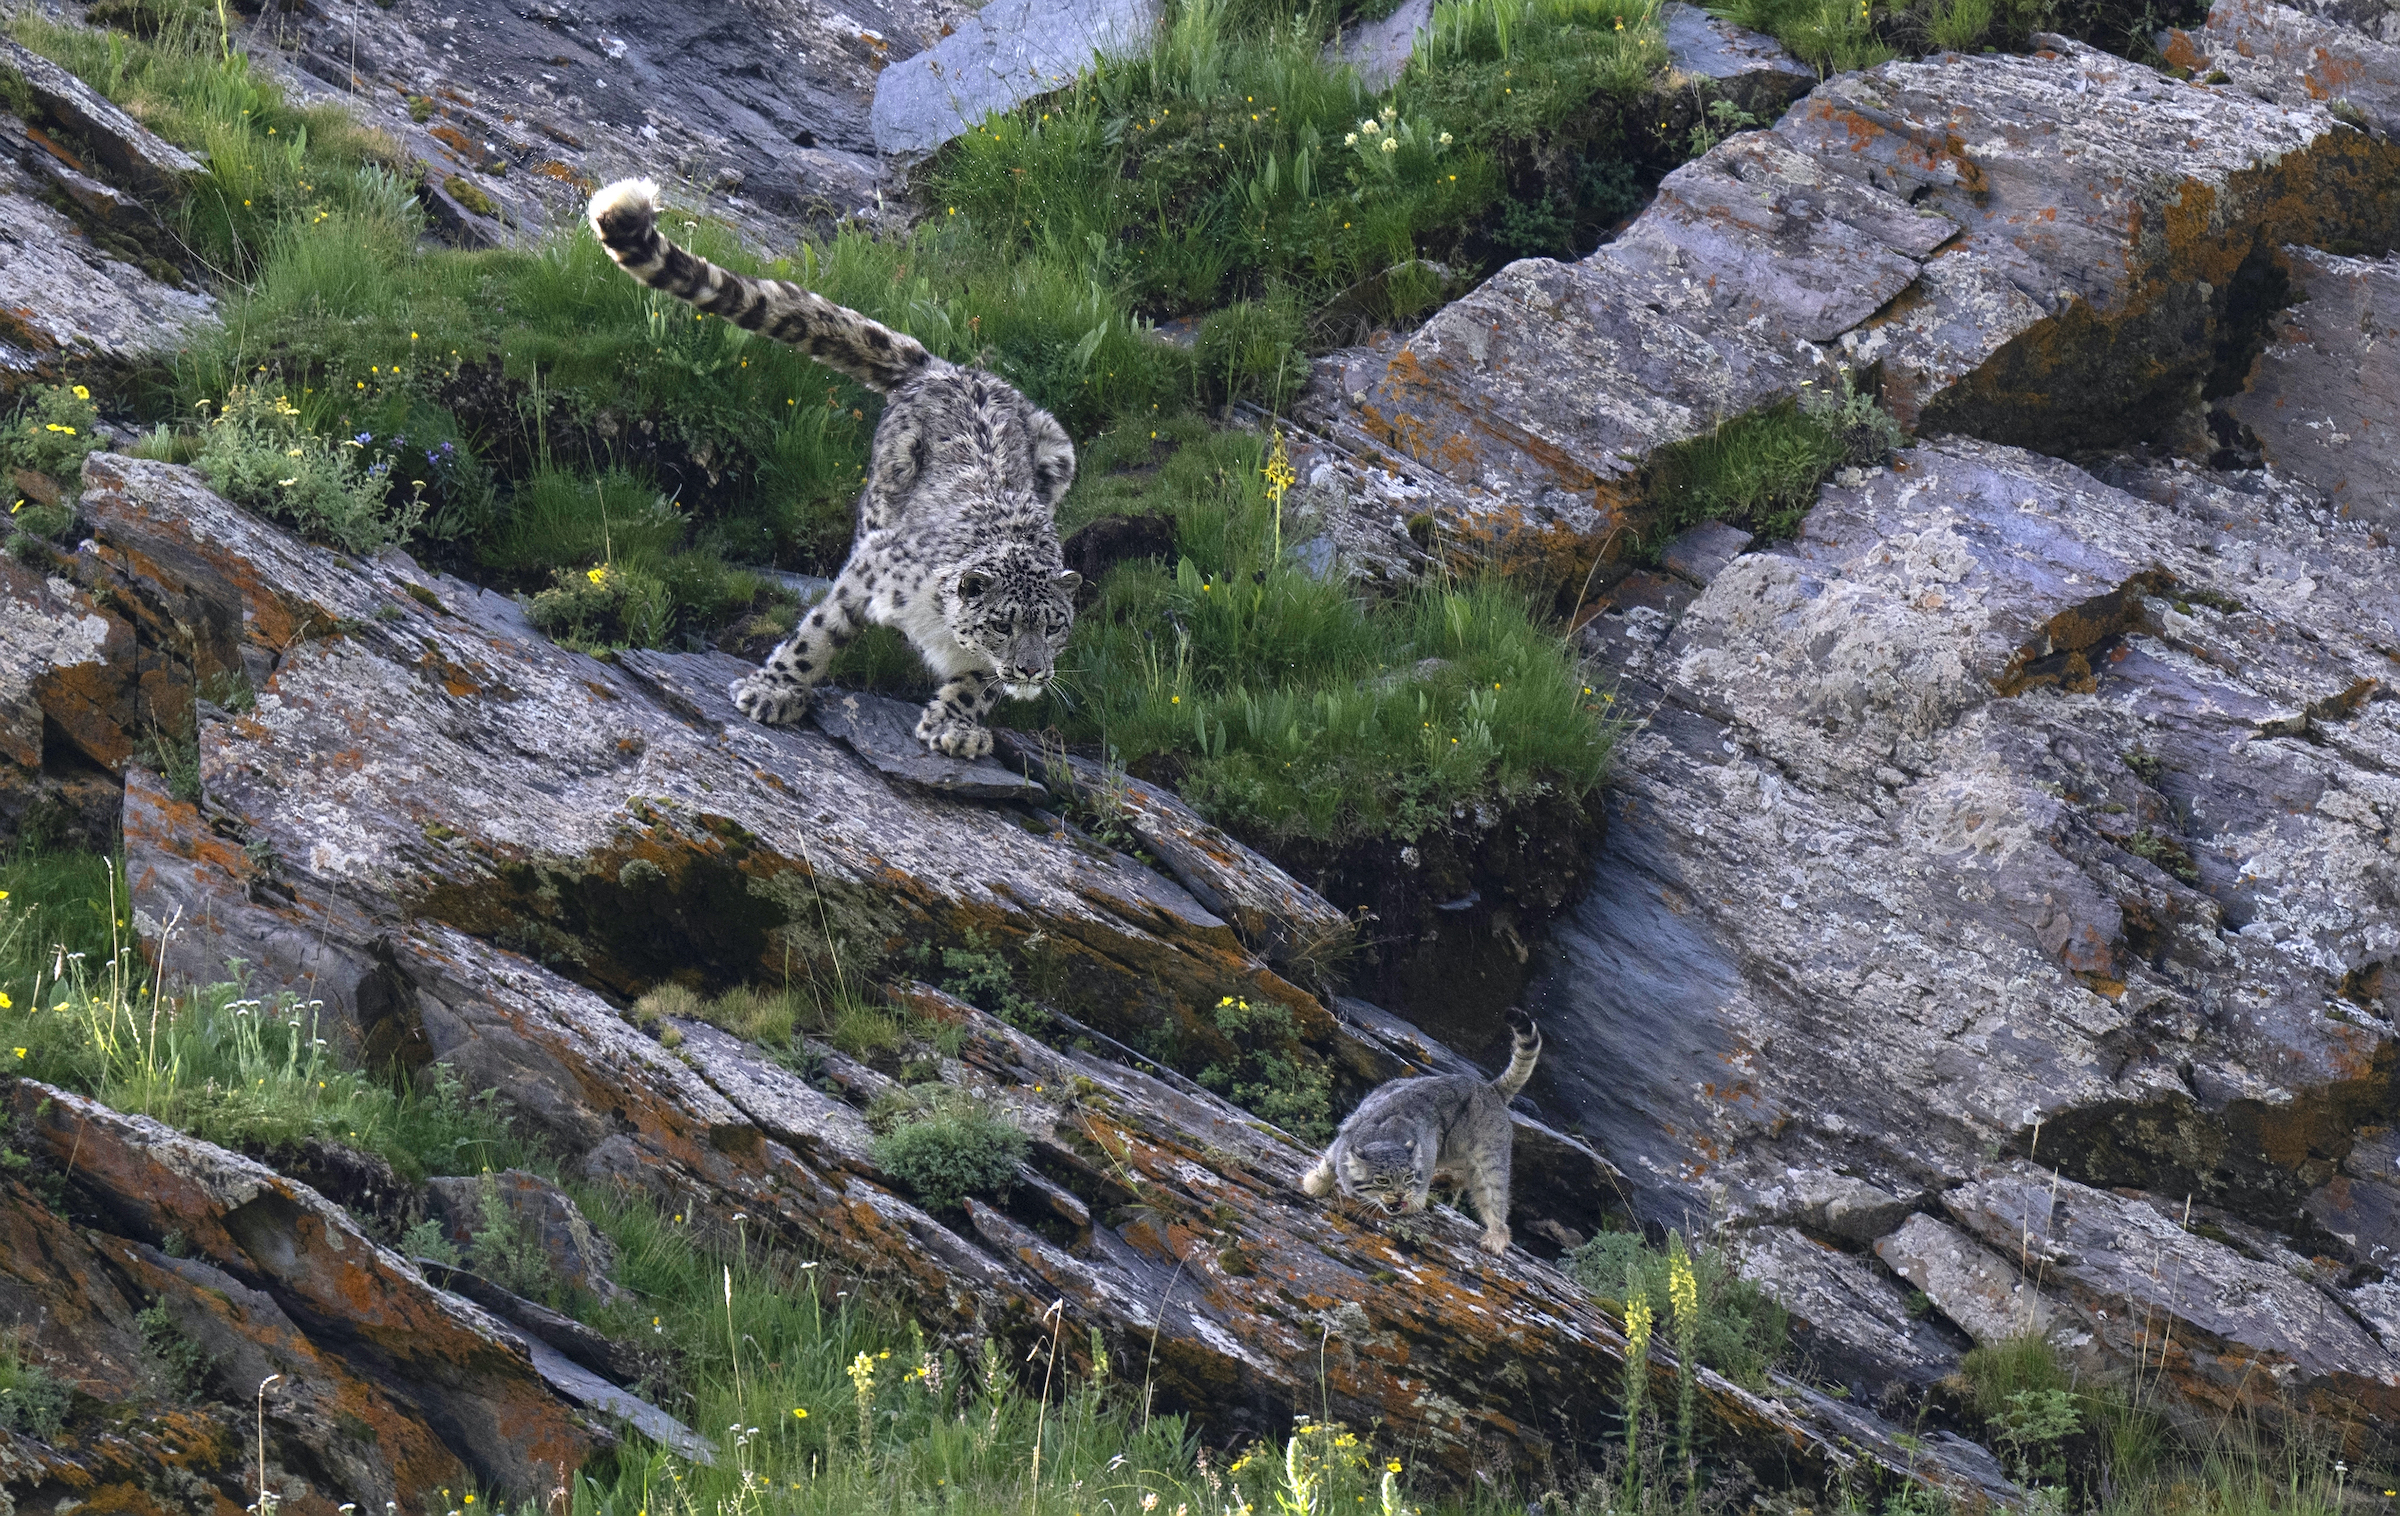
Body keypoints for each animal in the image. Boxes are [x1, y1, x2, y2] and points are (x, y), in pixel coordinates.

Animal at [586, 178, 1080, 758]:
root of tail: (947, 369)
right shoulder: (873, 571)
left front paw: (957, 725)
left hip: (1060, 451)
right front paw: (774, 691)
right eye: (1003, 625)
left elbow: (978, 683)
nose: (1031, 670)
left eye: (1053, 627)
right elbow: (817, 634)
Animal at [1301, 1010, 1541, 1255]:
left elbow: (1417, 1197)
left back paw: (1495, 1236)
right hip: (1452, 1151)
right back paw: (1443, 1179)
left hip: (1488, 1159)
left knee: (1492, 1196)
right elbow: (1328, 1162)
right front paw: (1314, 1184)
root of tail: (1489, 1088)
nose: (1400, 1195)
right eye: (1382, 1180)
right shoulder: (1345, 1135)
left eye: (1408, 1177)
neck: (1385, 1136)